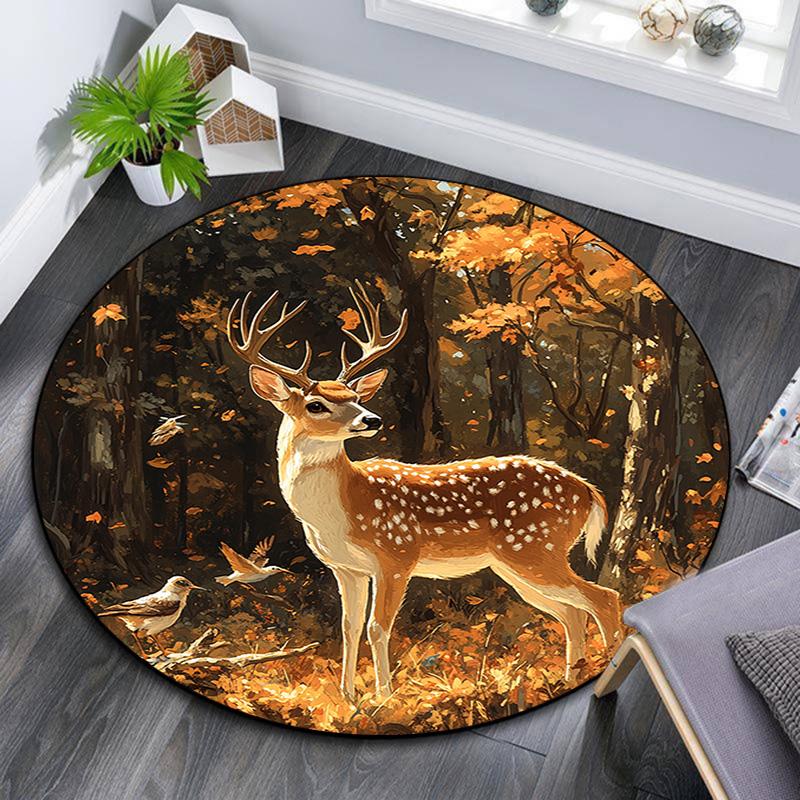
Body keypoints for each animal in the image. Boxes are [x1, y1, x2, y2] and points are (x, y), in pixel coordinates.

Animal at [226, 282, 623, 702]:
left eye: (356, 398)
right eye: (316, 404)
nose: (372, 419)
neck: (341, 509)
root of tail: (588, 492)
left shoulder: (397, 555)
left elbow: (377, 627)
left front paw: (384, 698)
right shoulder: (346, 568)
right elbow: (349, 628)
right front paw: (348, 698)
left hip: (535, 547)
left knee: (604, 598)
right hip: (516, 563)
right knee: (573, 612)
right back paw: (570, 677)